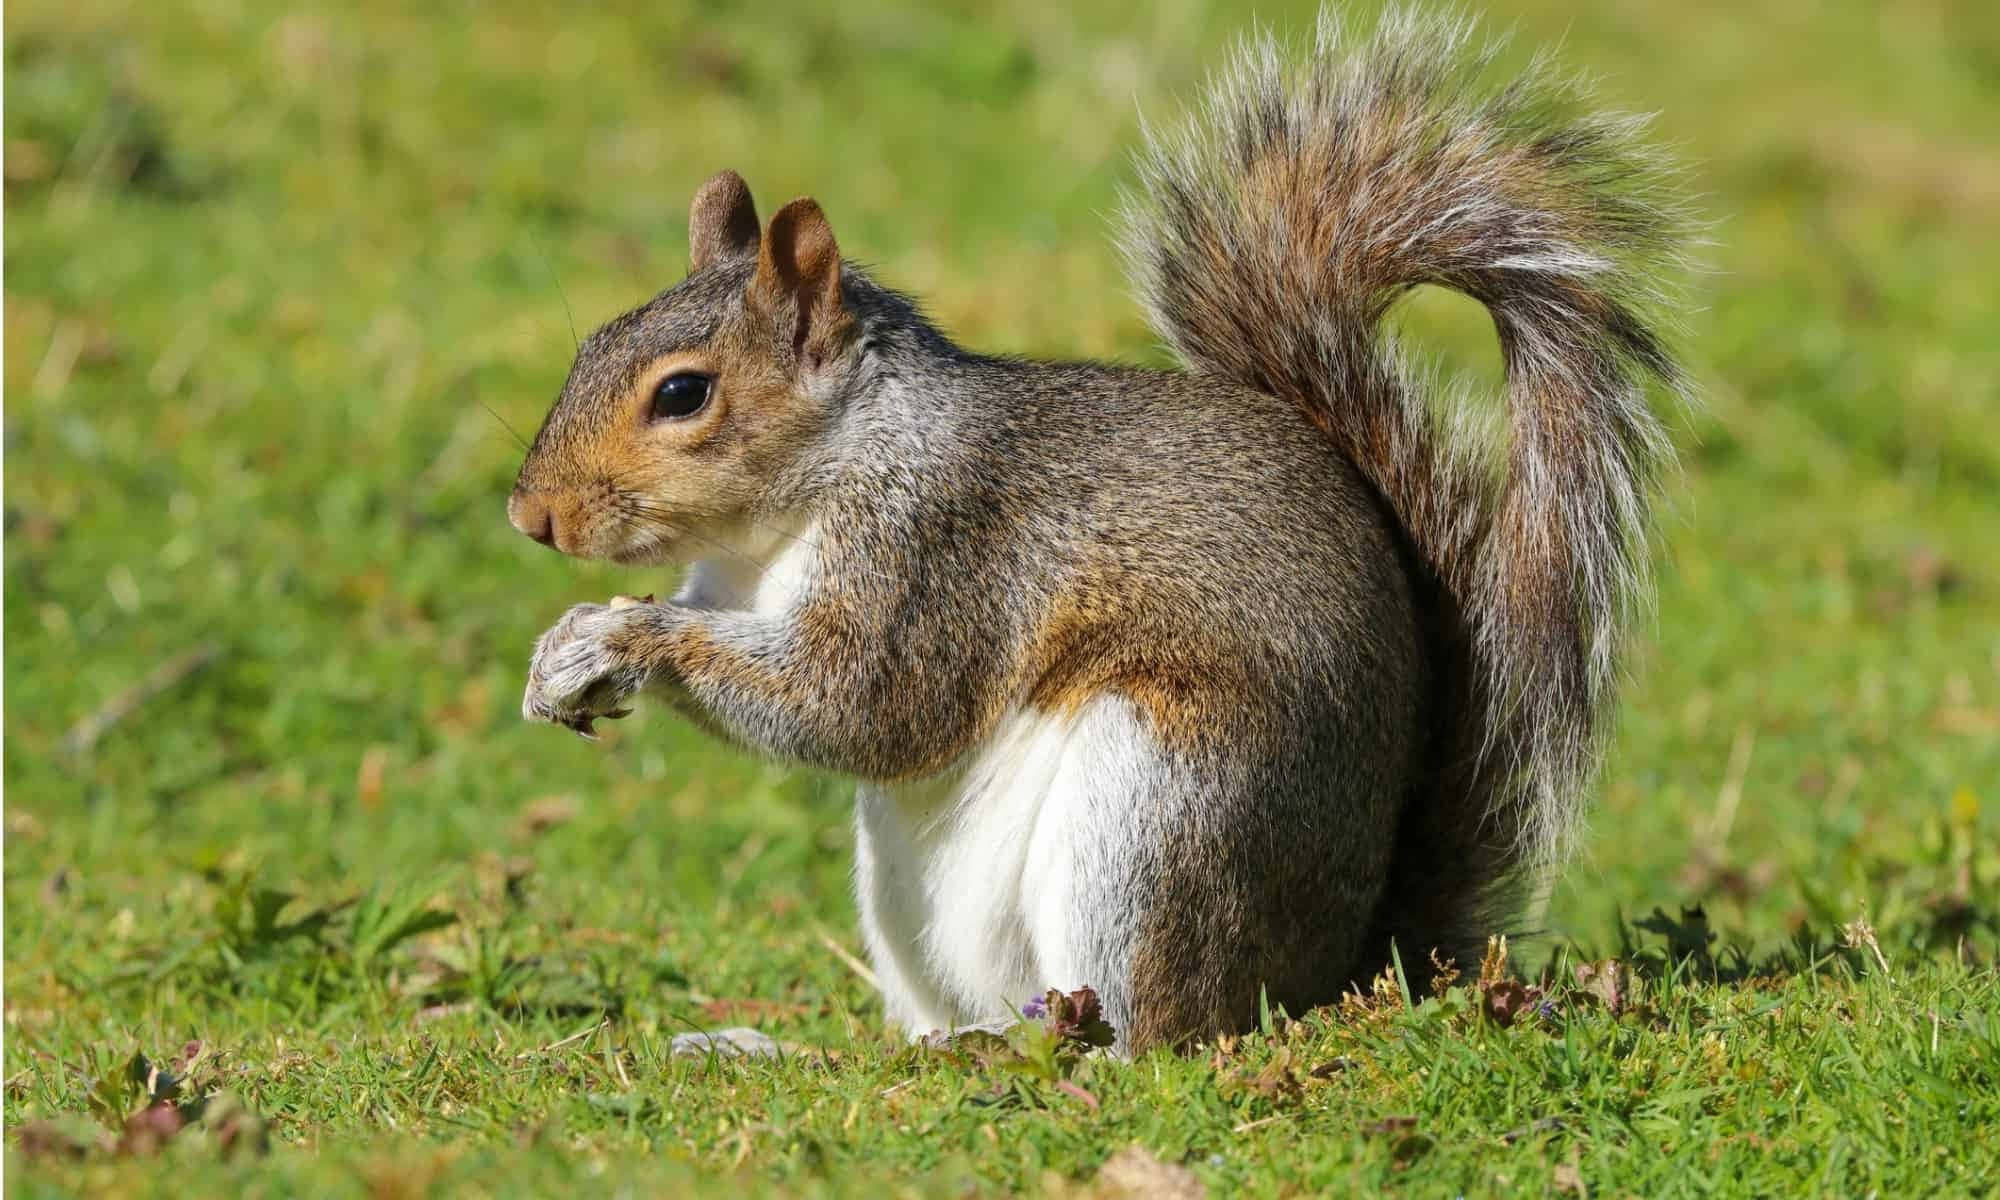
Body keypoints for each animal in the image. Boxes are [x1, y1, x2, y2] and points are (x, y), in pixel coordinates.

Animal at [507, 8, 1688, 1055]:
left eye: (683, 394)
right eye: (594, 340)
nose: (531, 516)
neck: (791, 511)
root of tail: (1344, 962)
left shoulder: (940, 552)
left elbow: (862, 706)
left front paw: (625, 640)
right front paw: (561, 651)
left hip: (1159, 812)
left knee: (1149, 1030)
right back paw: (818, 1047)